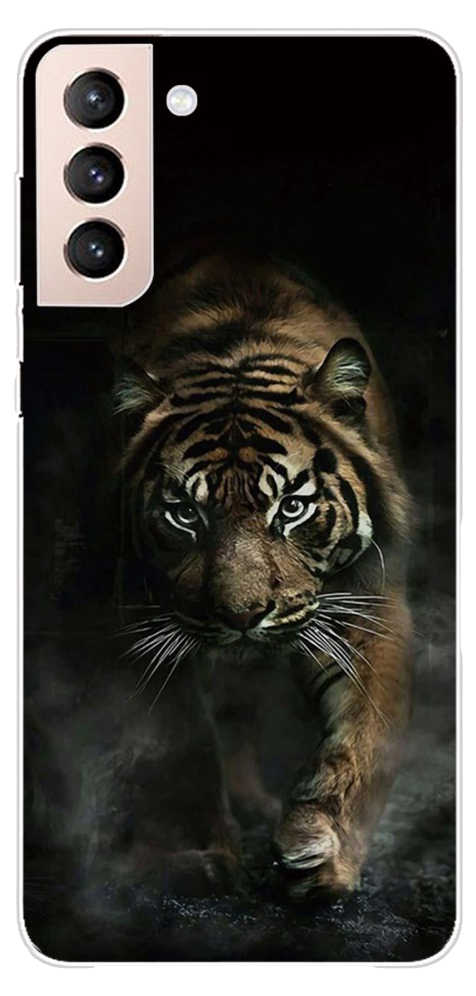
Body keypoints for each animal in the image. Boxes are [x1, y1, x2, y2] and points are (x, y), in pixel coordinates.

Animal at [115, 249, 413, 901]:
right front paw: (201, 855)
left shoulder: (368, 606)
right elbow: (185, 741)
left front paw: (322, 852)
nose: (242, 615)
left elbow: (363, 737)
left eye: (292, 508)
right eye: (185, 513)